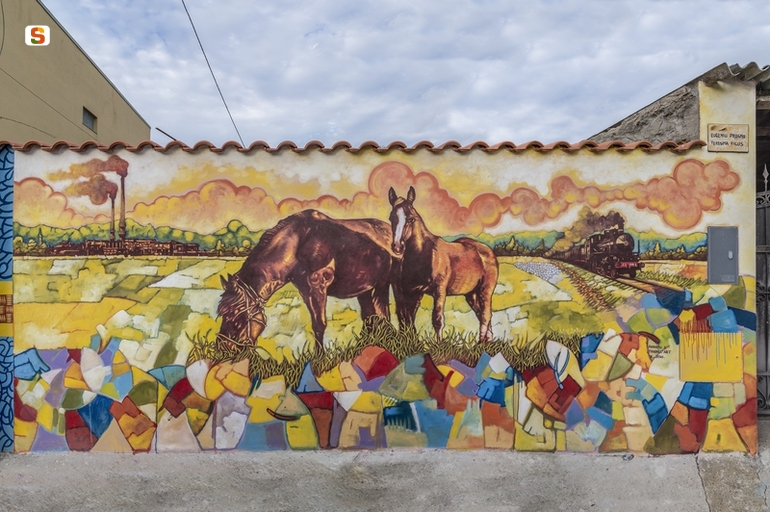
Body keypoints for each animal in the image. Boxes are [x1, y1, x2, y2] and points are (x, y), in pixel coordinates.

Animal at [217, 209, 396, 353]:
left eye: (237, 317)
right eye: (223, 314)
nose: (223, 349)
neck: (297, 242)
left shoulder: (318, 287)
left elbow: (319, 325)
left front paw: (319, 359)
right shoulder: (306, 291)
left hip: (382, 287)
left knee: (383, 316)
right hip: (365, 290)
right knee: (370, 317)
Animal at [388, 186, 499, 343]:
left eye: (410, 218)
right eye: (391, 218)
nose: (397, 247)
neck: (424, 255)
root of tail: (487, 250)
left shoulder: (439, 291)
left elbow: (437, 319)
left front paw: (439, 344)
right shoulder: (412, 292)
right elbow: (407, 318)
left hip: (485, 290)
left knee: (485, 314)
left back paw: (481, 343)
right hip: (471, 293)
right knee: (481, 313)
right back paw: (488, 341)